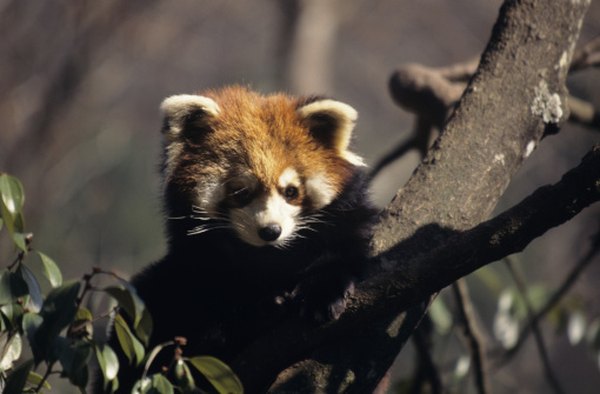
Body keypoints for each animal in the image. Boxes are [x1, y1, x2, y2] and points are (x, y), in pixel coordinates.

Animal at [103, 85, 376, 390]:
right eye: (241, 191)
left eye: (290, 191)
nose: (270, 231)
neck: (270, 256)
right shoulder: (198, 261)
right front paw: (261, 309)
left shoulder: (346, 221)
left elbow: (344, 253)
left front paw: (322, 294)